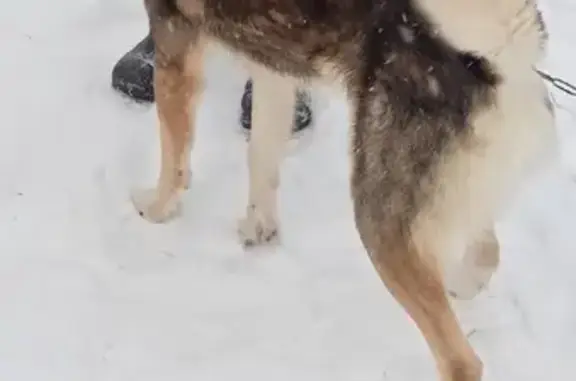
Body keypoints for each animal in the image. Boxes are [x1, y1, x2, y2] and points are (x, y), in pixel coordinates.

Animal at [132, 0, 560, 378]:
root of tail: (499, 60)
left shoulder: (176, 42)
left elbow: (173, 152)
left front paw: (157, 207)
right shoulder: (273, 71)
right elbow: (261, 155)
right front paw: (259, 227)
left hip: (379, 223)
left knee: (461, 362)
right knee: (487, 252)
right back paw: (458, 284)